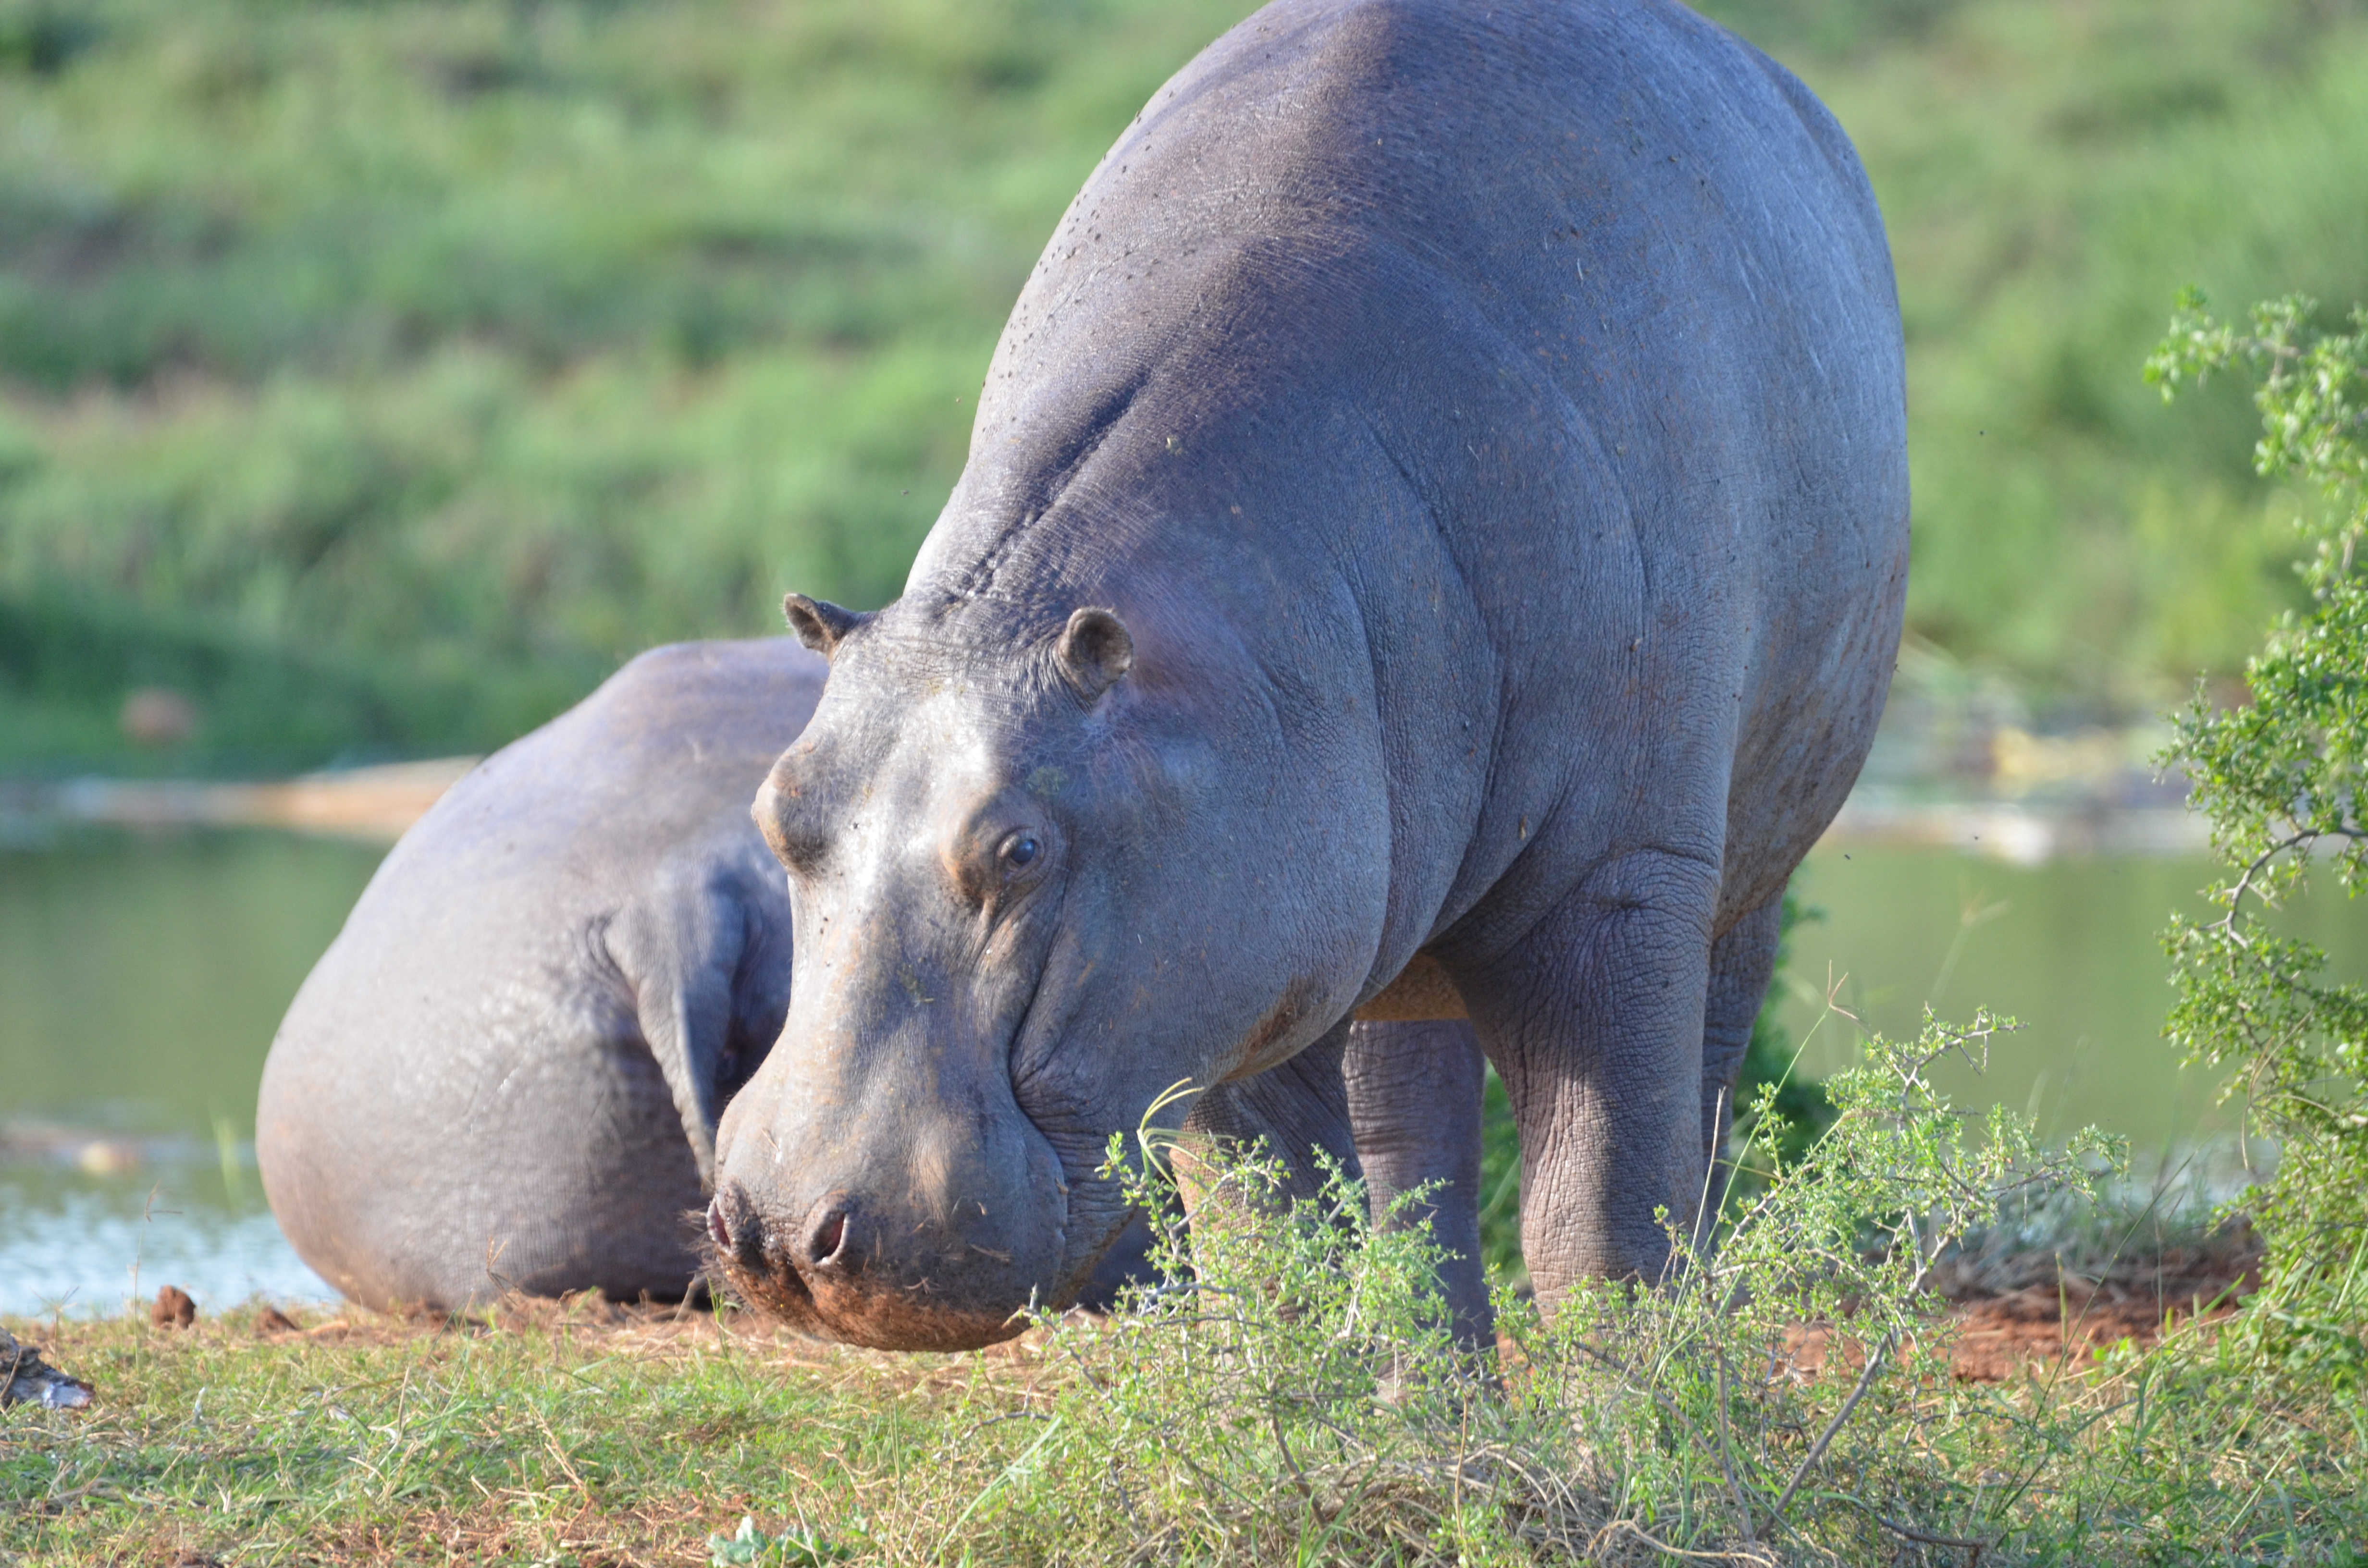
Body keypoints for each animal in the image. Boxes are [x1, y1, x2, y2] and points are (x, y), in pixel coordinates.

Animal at [708, 0, 1908, 1352]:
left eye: (1021, 851)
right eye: (777, 808)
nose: (783, 1231)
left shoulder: (1612, 885)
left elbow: (1599, 1229)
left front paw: (1657, 1408)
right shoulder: (1217, 963)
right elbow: (1277, 1249)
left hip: (1744, 862)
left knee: (1697, 1092)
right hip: (1377, 922)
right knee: (1410, 1156)